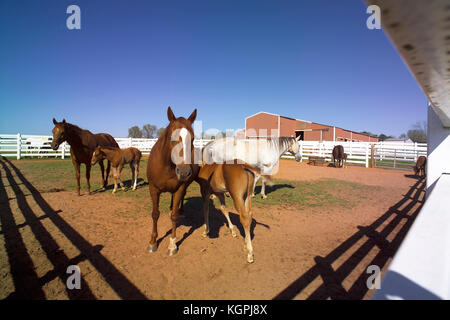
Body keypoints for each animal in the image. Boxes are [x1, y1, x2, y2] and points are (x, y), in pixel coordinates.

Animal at [147, 106, 198, 256]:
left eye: (193, 138)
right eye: (172, 137)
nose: (184, 172)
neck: (167, 165)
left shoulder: (179, 189)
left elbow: (174, 217)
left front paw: (172, 245)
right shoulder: (153, 189)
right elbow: (155, 214)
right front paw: (153, 242)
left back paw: (180, 210)